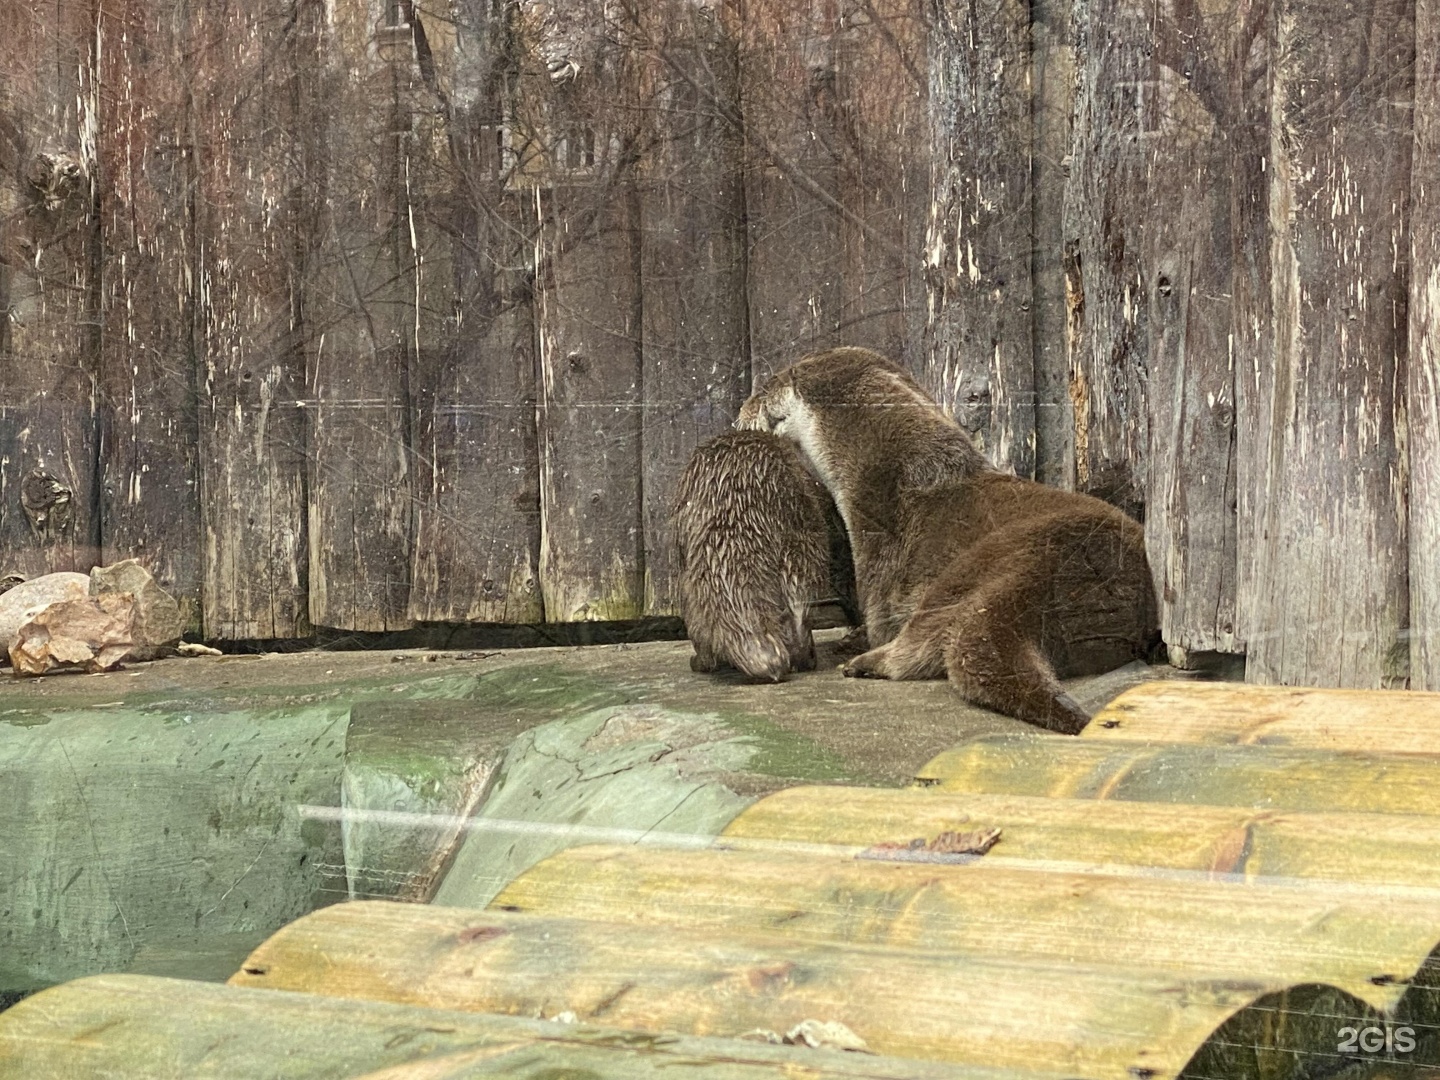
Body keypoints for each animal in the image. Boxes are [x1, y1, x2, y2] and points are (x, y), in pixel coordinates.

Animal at [737, 347, 1163, 737]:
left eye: (762, 389)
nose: (741, 410)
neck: (891, 472)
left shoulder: (877, 548)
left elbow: (880, 617)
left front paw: (857, 639)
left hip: (1005, 558)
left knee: (933, 643)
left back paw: (865, 663)